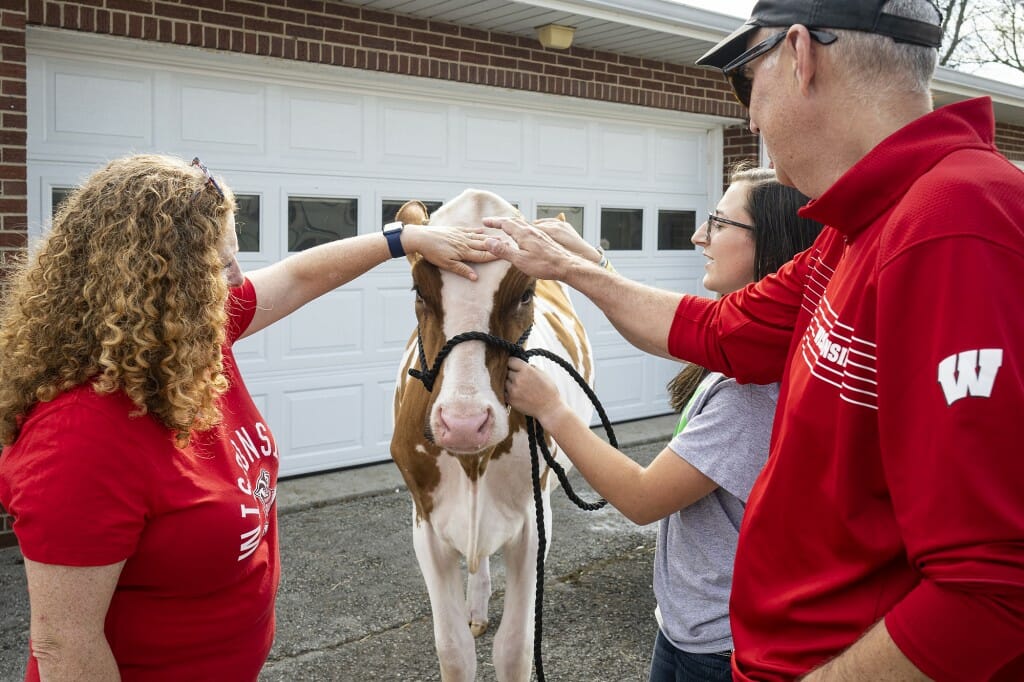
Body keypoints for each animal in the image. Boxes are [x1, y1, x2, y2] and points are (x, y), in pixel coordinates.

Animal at [393, 189, 598, 679]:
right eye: (419, 291)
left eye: (525, 293)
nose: (465, 422)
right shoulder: (425, 523)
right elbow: (453, 650)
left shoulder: (532, 523)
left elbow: (516, 647)